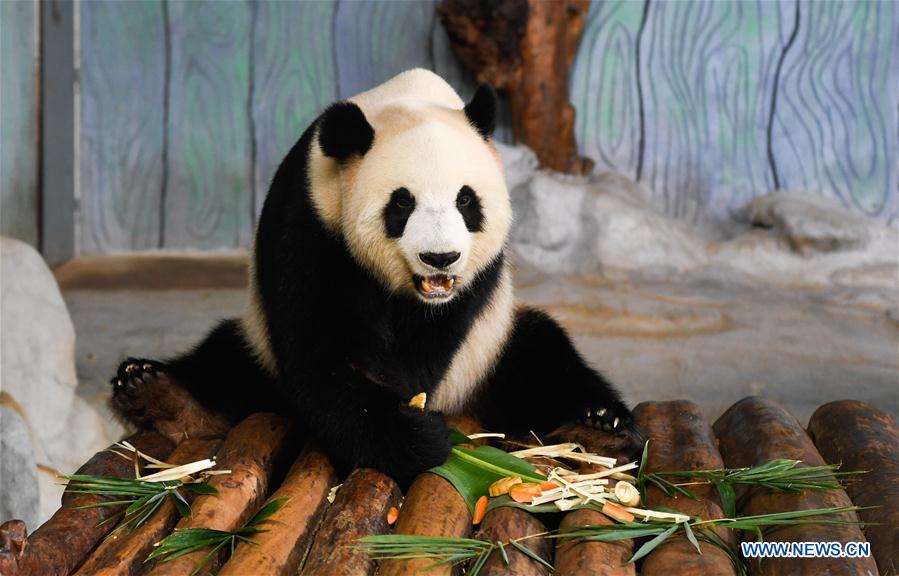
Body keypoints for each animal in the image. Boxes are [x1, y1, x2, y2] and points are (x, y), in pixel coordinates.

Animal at [111, 69, 638, 487]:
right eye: (401, 203)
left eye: (467, 200)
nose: (441, 258)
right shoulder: (310, 220)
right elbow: (320, 353)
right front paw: (415, 438)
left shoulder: (477, 285)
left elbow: (427, 356)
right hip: (257, 347)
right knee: (225, 364)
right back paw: (155, 391)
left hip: (490, 349)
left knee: (540, 357)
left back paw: (598, 422)